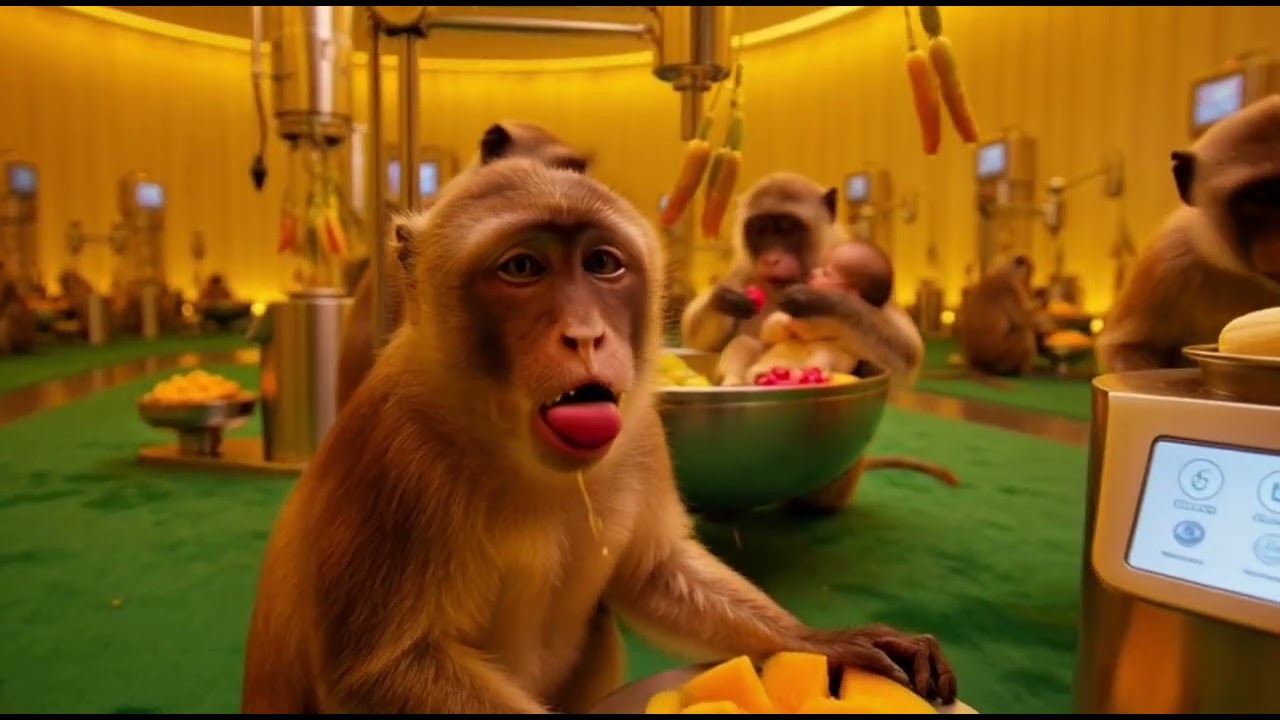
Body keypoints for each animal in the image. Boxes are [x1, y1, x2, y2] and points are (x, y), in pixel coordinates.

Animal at [241, 157, 957, 714]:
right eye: (522, 267)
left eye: (602, 264)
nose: (585, 335)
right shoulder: (388, 453)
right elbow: (381, 670)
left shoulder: (639, 433)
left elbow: (652, 573)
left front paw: (820, 643)